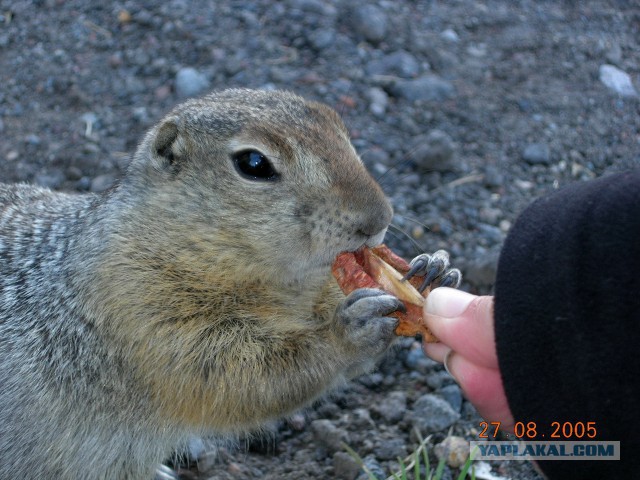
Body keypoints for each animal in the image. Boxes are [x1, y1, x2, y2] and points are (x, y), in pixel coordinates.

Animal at [0, 88, 456, 478]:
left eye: (339, 127)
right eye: (253, 164)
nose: (378, 218)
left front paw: (430, 269)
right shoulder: (139, 307)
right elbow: (235, 377)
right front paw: (347, 332)